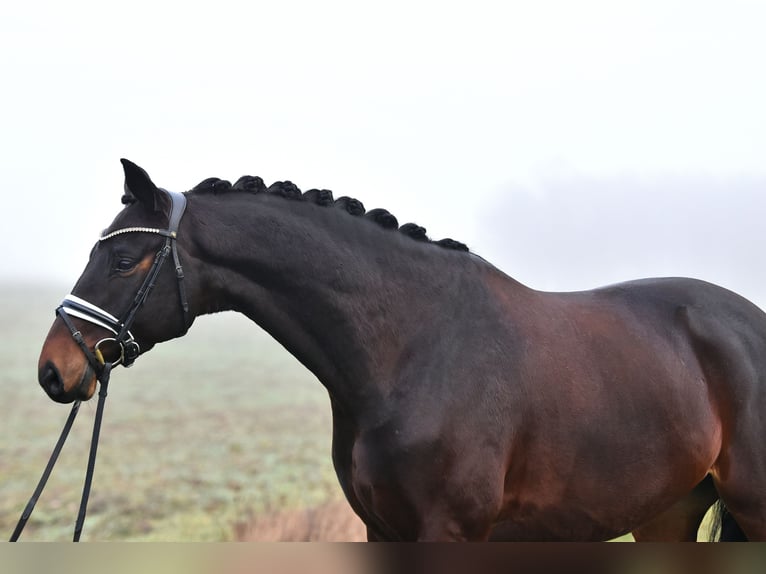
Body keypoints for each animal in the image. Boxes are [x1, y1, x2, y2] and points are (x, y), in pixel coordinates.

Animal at [37, 160, 766, 544]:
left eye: (124, 259)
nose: (54, 369)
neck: (410, 352)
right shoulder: (380, 529)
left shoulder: (447, 533)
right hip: (669, 512)